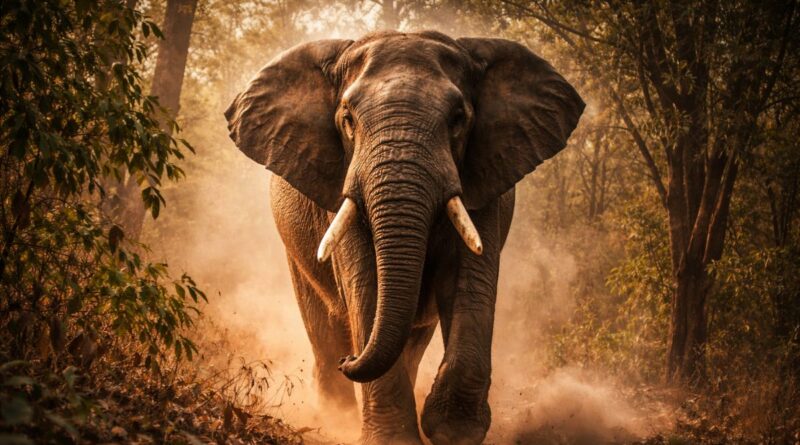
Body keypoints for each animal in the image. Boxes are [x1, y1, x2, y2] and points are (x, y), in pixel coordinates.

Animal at [225, 31, 584, 444]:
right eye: (347, 120)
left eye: (458, 120)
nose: (349, 359)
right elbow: (365, 283)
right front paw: (395, 439)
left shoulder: (483, 177)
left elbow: (469, 280)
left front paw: (452, 432)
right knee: (322, 327)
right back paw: (335, 413)